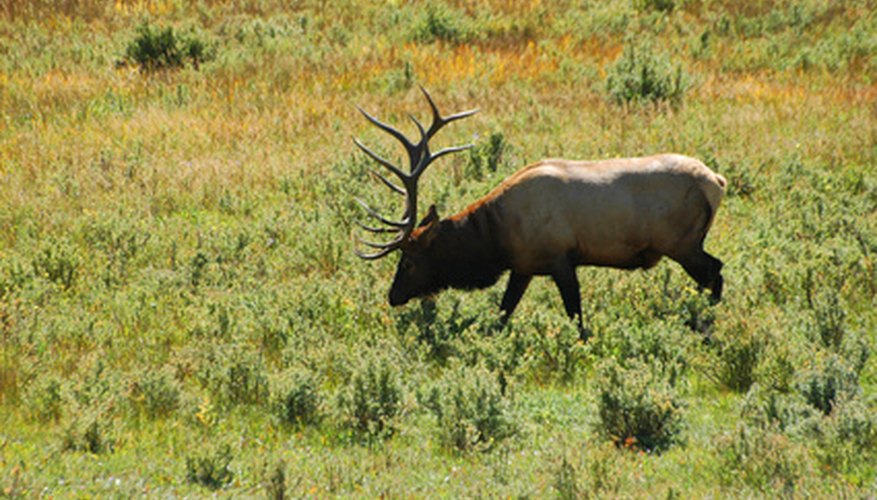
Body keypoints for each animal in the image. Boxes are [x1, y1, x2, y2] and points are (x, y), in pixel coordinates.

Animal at [350, 89, 724, 340]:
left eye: (409, 262)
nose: (393, 296)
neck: (496, 236)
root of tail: (717, 182)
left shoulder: (560, 258)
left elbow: (576, 317)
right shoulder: (524, 266)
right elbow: (503, 312)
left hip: (681, 243)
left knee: (714, 273)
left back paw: (705, 324)